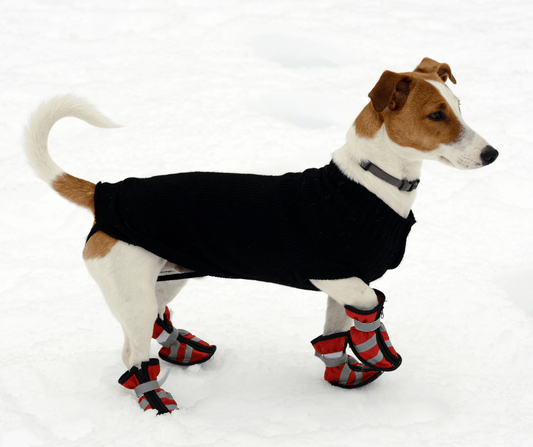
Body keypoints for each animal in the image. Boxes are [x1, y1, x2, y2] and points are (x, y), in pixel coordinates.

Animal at [23, 57, 498, 414]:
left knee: (145, 328)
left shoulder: (342, 283)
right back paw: (156, 399)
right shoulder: (334, 275)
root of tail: (106, 193)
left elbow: (336, 330)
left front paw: (342, 371)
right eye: (436, 115)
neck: (369, 185)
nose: (492, 153)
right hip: (132, 288)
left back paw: (180, 348)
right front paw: (376, 347)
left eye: (460, 106)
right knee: (134, 355)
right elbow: (369, 304)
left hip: (164, 277)